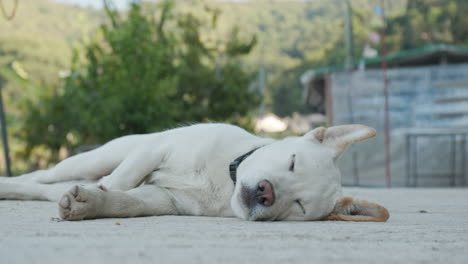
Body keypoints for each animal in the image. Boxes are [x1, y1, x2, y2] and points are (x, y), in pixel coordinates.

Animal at [0, 122, 390, 222]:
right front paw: (103, 190)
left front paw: (92, 204)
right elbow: (121, 182)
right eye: (292, 161)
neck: (225, 181)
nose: (265, 192)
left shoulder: (164, 199)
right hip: (96, 157)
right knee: (42, 176)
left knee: (42, 187)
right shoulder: (156, 149)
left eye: (299, 206)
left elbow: (128, 202)